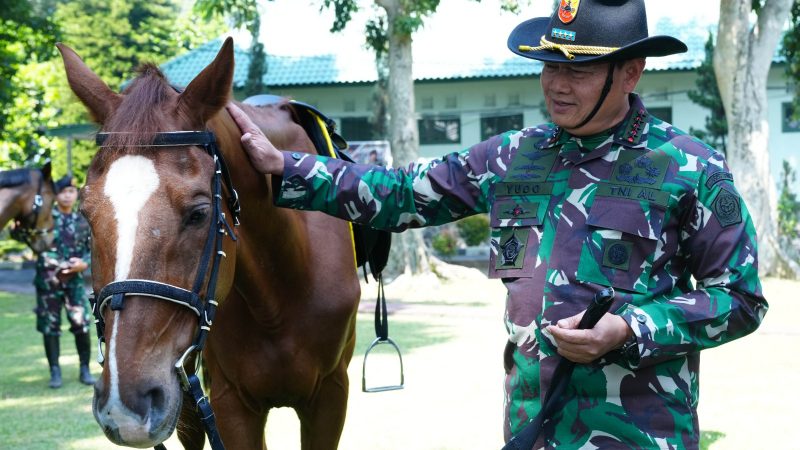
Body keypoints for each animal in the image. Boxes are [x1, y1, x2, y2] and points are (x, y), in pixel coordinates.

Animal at [61, 38, 360, 450]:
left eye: (199, 213)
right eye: (86, 214)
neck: (281, 292)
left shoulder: (331, 396)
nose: (125, 406)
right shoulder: (228, 402)